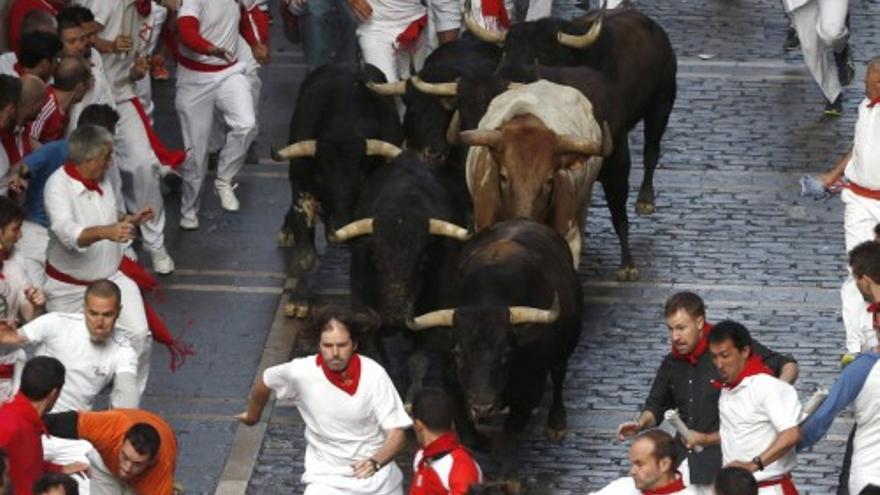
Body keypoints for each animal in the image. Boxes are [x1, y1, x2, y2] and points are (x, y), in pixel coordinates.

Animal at [408, 221, 584, 480]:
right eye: (458, 353)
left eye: (507, 353)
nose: (483, 407)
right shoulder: (451, 380)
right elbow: (468, 431)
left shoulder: (531, 386)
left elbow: (510, 432)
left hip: (565, 347)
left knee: (560, 373)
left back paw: (556, 423)